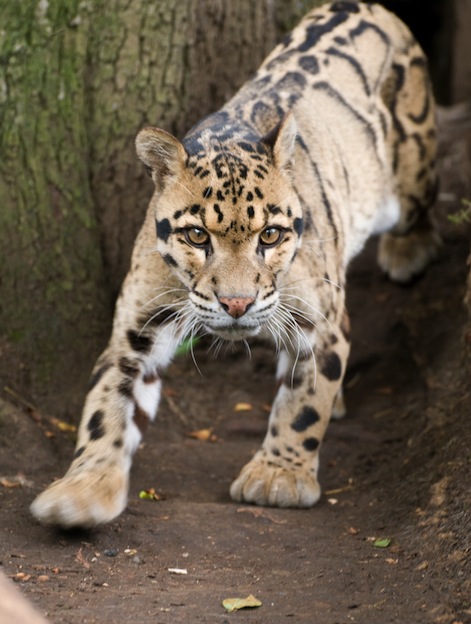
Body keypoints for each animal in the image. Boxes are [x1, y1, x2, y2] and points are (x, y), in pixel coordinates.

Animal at [31, 0, 440, 528]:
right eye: (196, 235)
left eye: (270, 235)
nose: (237, 304)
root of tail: (364, 5)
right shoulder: (134, 330)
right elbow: (106, 406)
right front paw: (84, 487)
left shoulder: (323, 318)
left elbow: (304, 402)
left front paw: (279, 476)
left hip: (411, 167)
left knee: (421, 200)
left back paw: (409, 249)